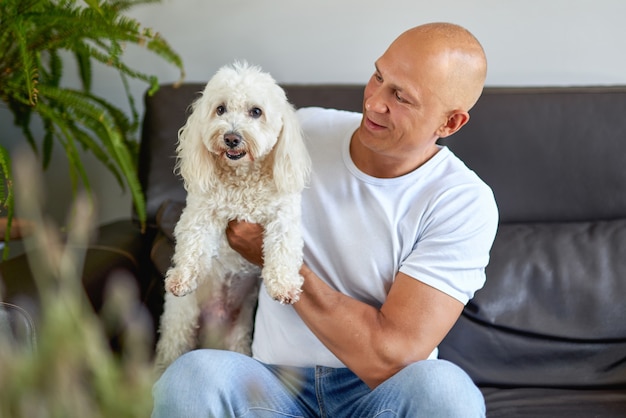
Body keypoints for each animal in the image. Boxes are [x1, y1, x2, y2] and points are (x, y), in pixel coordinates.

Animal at [154, 60, 310, 370]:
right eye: (220, 109)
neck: (243, 179)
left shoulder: (283, 218)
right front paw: (182, 277)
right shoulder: (200, 212)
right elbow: (193, 244)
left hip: (238, 337)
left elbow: (283, 249)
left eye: (256, 112)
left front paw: (284, 285)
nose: (231, 138)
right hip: (180, 326)